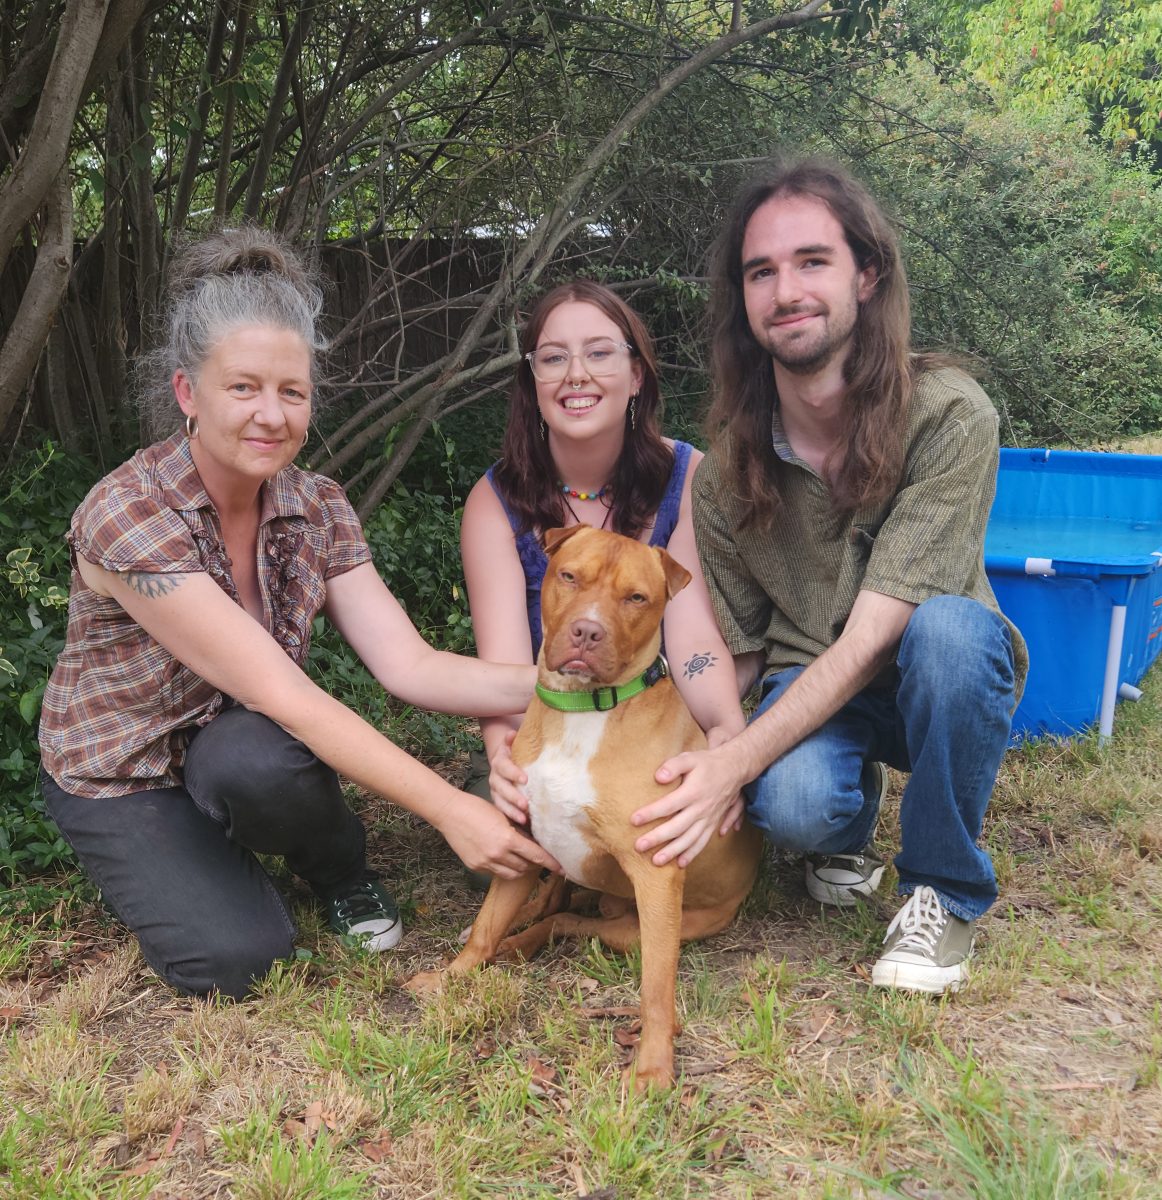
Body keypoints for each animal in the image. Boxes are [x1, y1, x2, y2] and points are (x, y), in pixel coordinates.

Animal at [408, 525, 763, 1089]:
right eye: (569, 576)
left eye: (637, 597)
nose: (587, 632)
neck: (582, 711)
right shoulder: (519, 841)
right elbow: (485, 927)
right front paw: (451, 979)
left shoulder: (655, 874)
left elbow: (656, 989)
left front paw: (653, 1067)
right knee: (551, 902)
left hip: (637, 928)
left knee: (567, 922)